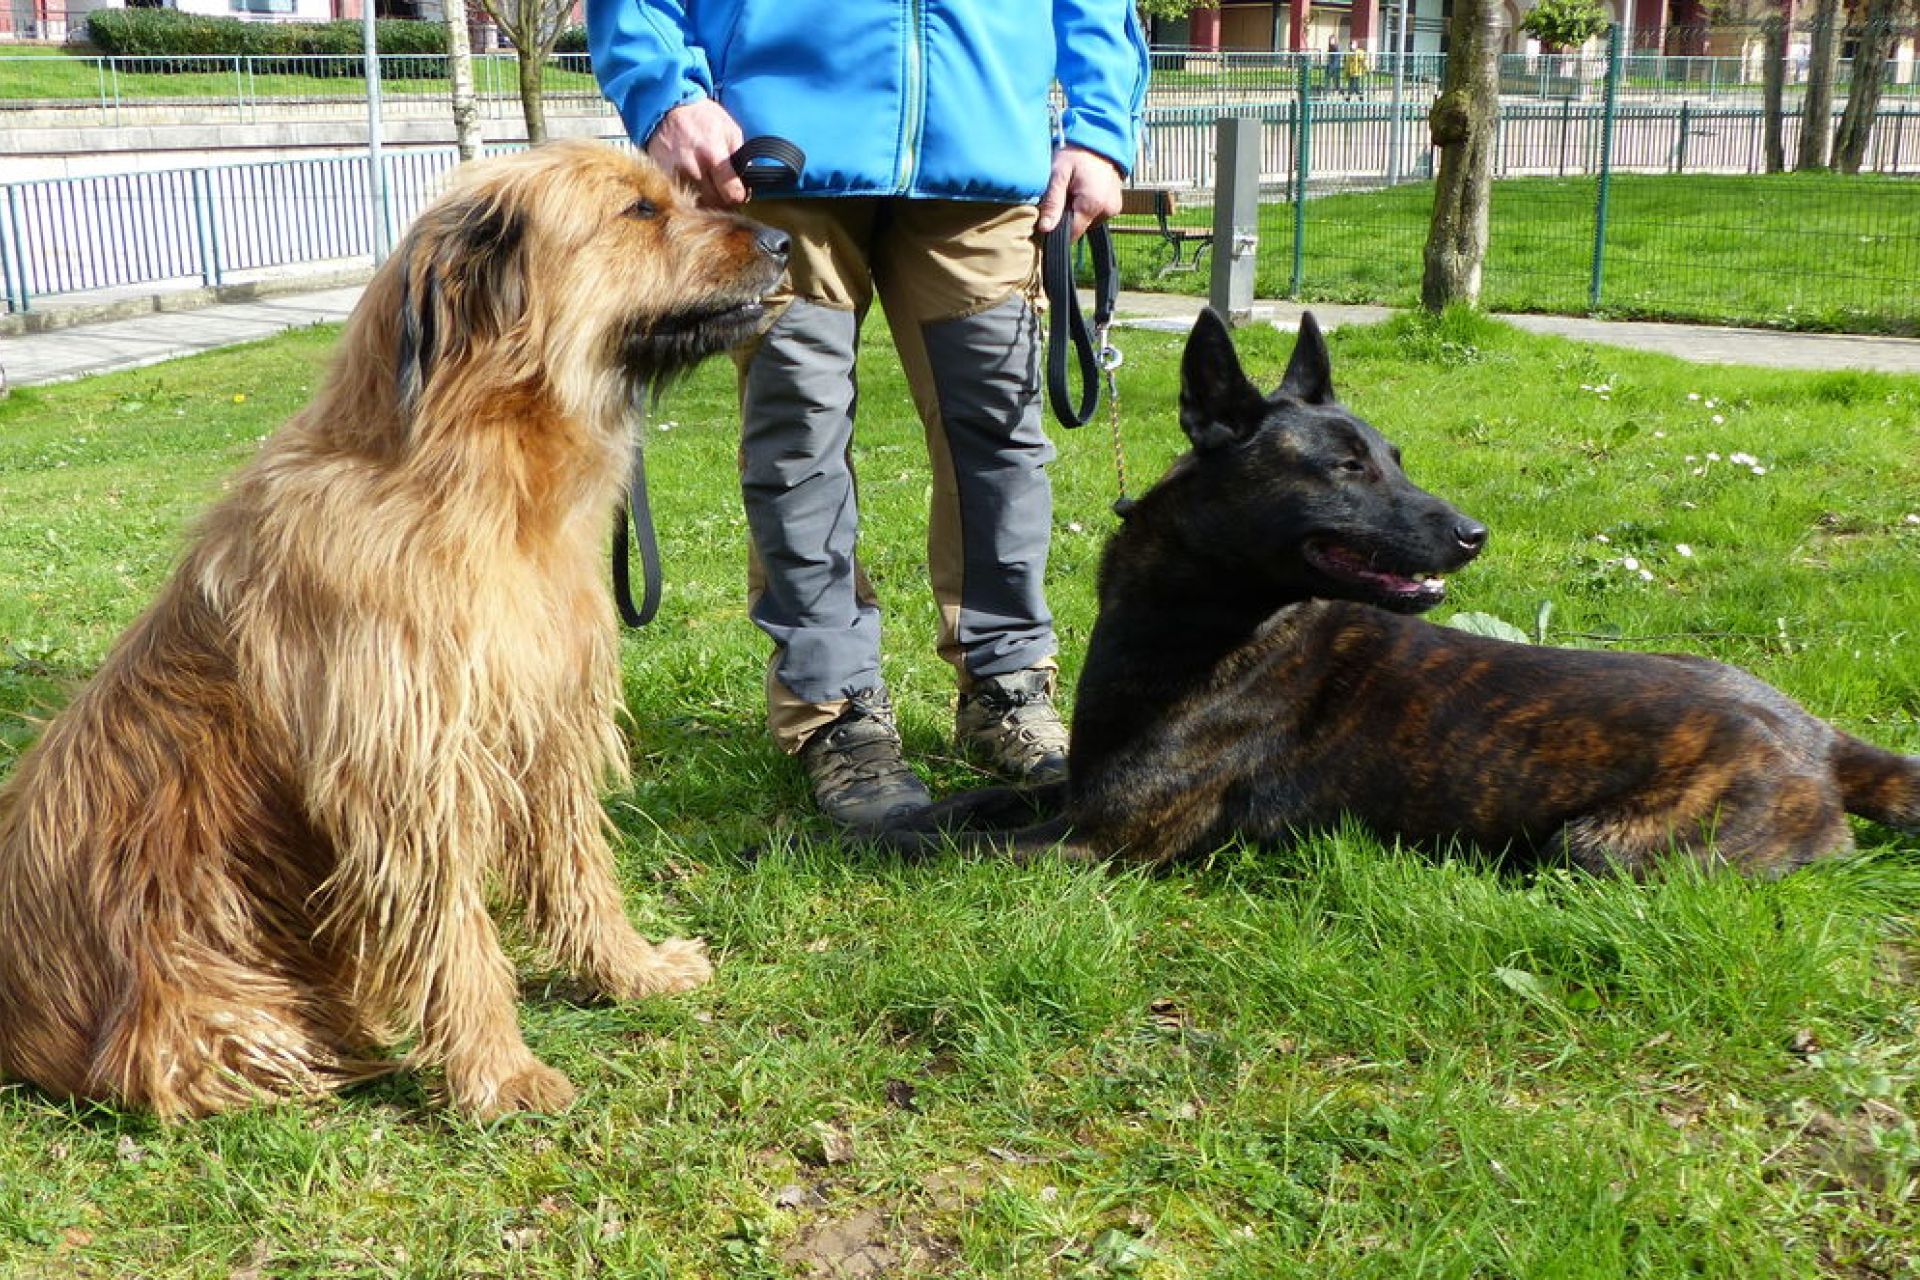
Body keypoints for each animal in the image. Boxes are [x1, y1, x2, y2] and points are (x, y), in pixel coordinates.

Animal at [0, 142, 791, 1120]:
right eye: (639, 211)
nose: (783, 241)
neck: (469, 477)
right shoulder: (407, 769)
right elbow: (452, 934)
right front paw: (498, 1070)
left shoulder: (548, 721)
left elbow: (578, 867)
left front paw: (629, 972)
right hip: (205, 996)